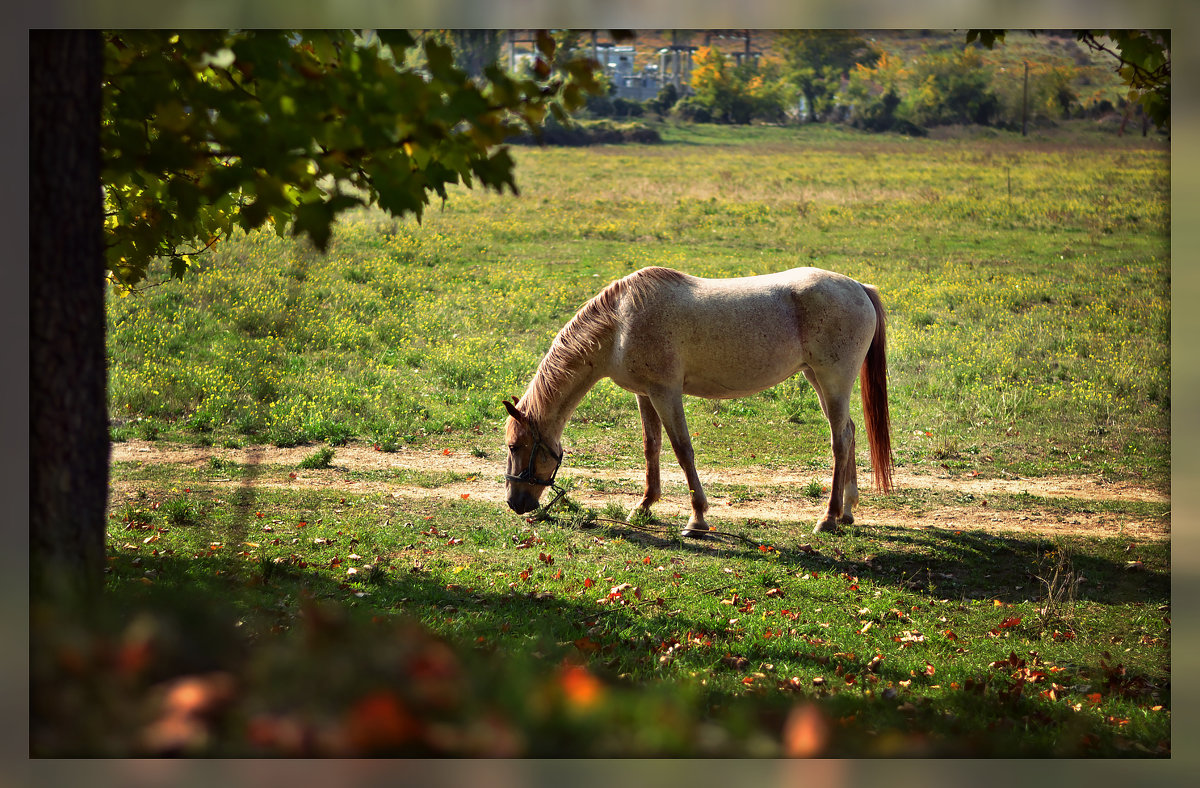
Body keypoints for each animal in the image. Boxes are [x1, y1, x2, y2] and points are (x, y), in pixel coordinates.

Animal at [499, 266, 892, 534]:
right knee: (850, 432)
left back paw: (828, 518)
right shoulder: (646, 395)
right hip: (819, 380)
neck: (621, 324)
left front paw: (697, 517)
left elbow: (682, 449)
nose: (514, 503)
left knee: (839, 441)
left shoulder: (666, 393)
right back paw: (848, 510)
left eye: (515, 446)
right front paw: (644, 506)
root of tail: (859, 287)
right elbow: (652, 447)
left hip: (832, 381)